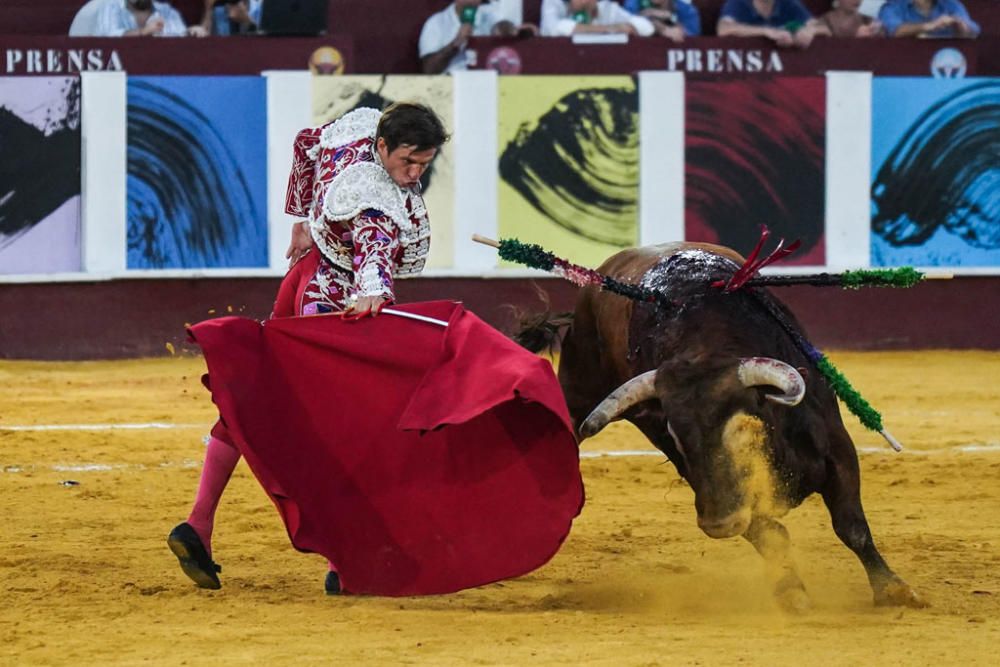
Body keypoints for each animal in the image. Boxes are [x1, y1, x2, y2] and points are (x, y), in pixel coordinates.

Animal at [520, 244, 924, 612]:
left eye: (742, 430)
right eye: (677, 437)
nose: (717, 524)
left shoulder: (837, 448)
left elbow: (850, 525)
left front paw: (893, 589)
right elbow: (769, 533)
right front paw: (791, 591)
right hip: (578, 387)